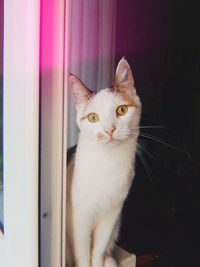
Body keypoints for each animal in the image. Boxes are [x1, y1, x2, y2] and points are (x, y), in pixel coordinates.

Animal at [66, 58, 141, 267]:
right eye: (93, 117)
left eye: (122, 110)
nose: (109, 130)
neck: (107, 161)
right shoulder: (78, 218)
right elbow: (83, 255)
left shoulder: (111, 215)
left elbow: (98, 250)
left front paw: (99, 261)